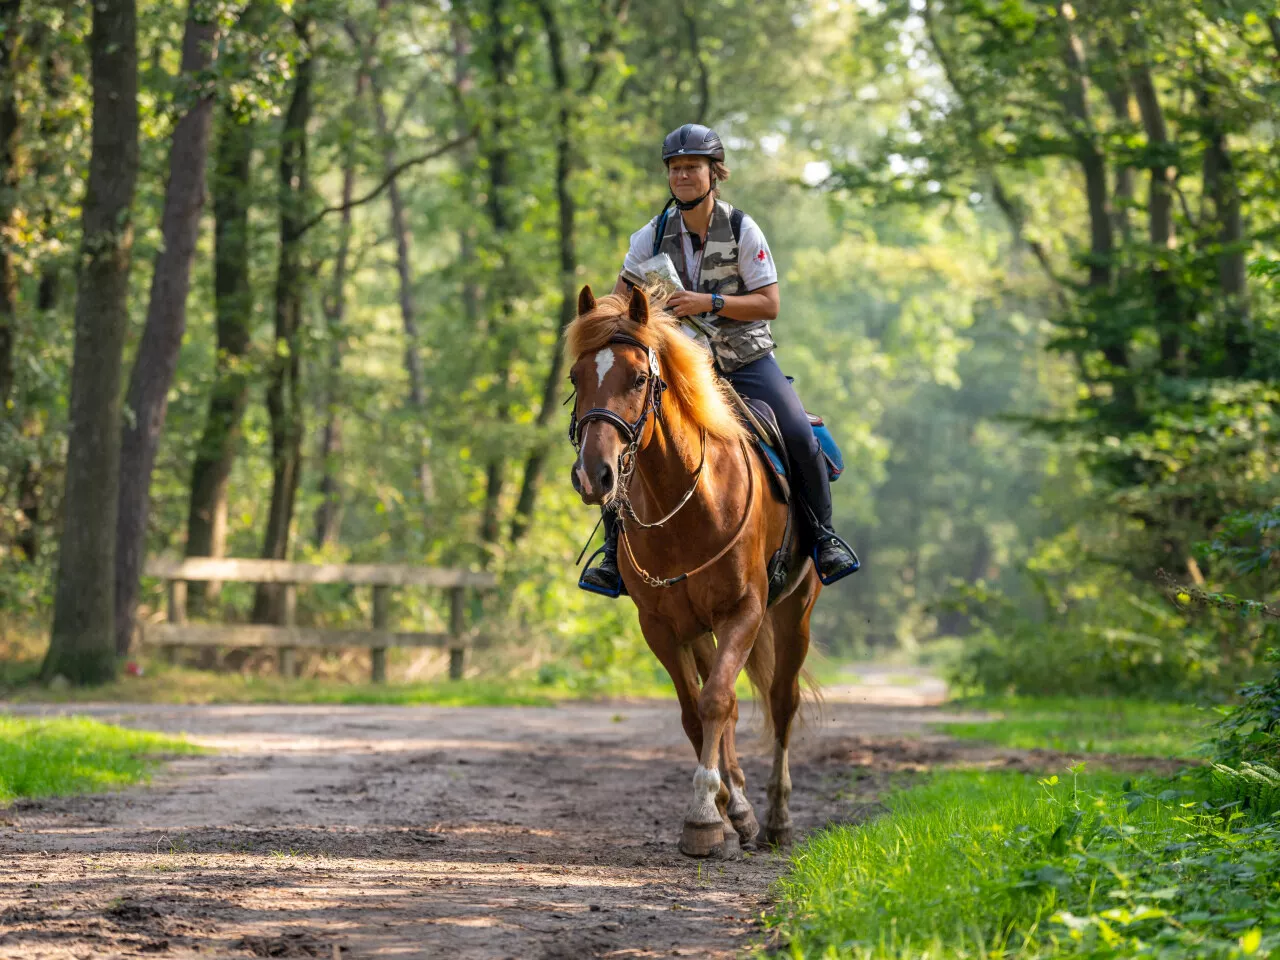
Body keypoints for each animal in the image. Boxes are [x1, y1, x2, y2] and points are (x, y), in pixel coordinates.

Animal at [568, 284, 819, 855]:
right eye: (575, 377)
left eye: (639, 378)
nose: (593, 475)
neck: (685, 501)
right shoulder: (661, 626)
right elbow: (693, 712)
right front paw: (720, 811)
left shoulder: (744, 611)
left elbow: (717, 702)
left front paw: (704, 816)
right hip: (700, 627)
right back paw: (740, 808)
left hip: (794, 610)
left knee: (782, 701)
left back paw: (776, 818)